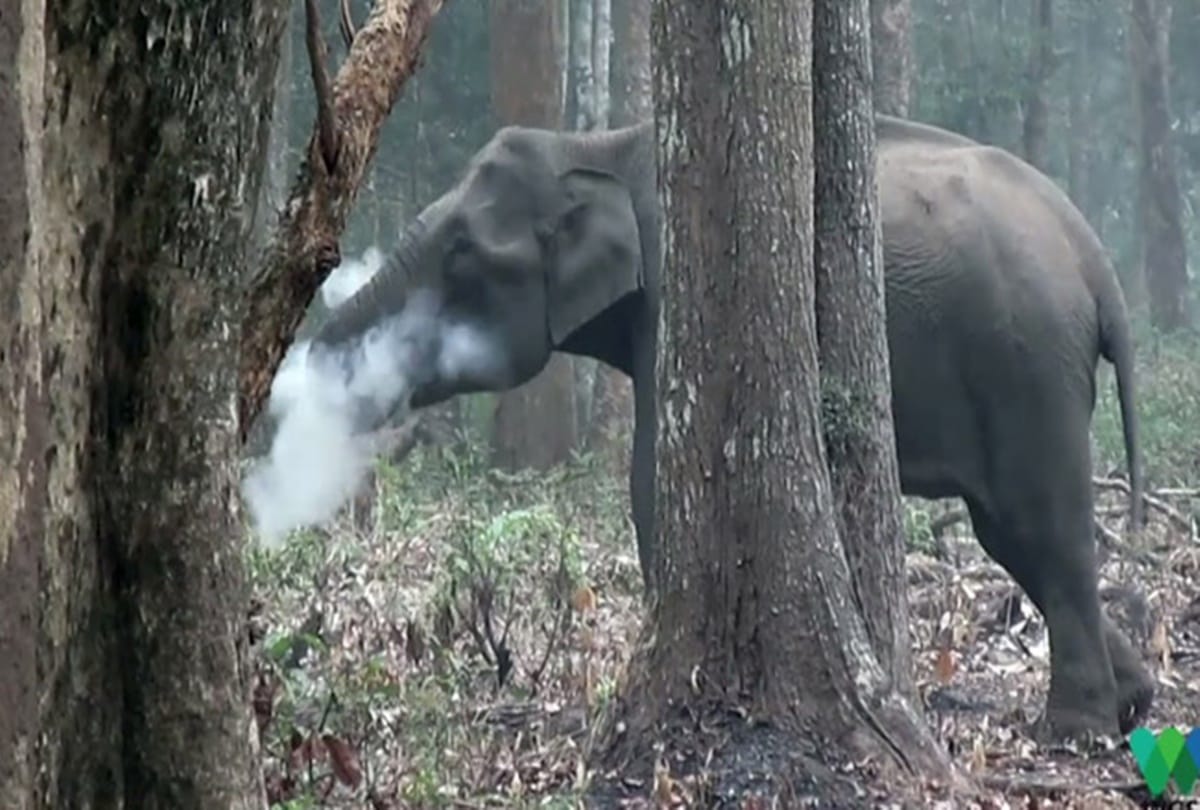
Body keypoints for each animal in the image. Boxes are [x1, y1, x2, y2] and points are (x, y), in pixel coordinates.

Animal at [308, 114, 1151, 742]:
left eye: (461, 255)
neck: (598, 145)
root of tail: (1097, 263)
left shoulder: (678, 295)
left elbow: (651, 479)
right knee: (1009, 533)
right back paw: (1133, 702)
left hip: (1027, 363)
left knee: (1041, 527)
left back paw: (1075, 730)